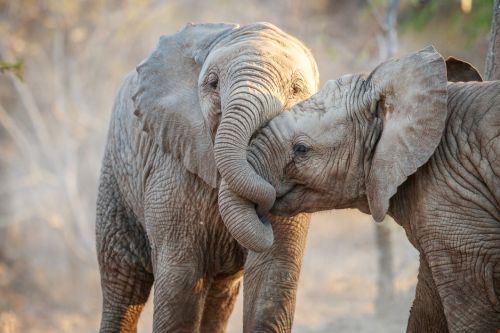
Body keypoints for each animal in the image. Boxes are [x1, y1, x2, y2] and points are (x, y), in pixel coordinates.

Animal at [95, 22, 318, 330]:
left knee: (220, 295)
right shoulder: (172, 169)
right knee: (122, 280)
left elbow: (272, 272)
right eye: (212, 83)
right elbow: (180, 279)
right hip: (115, 175)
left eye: (296, 89)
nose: (263, 207)